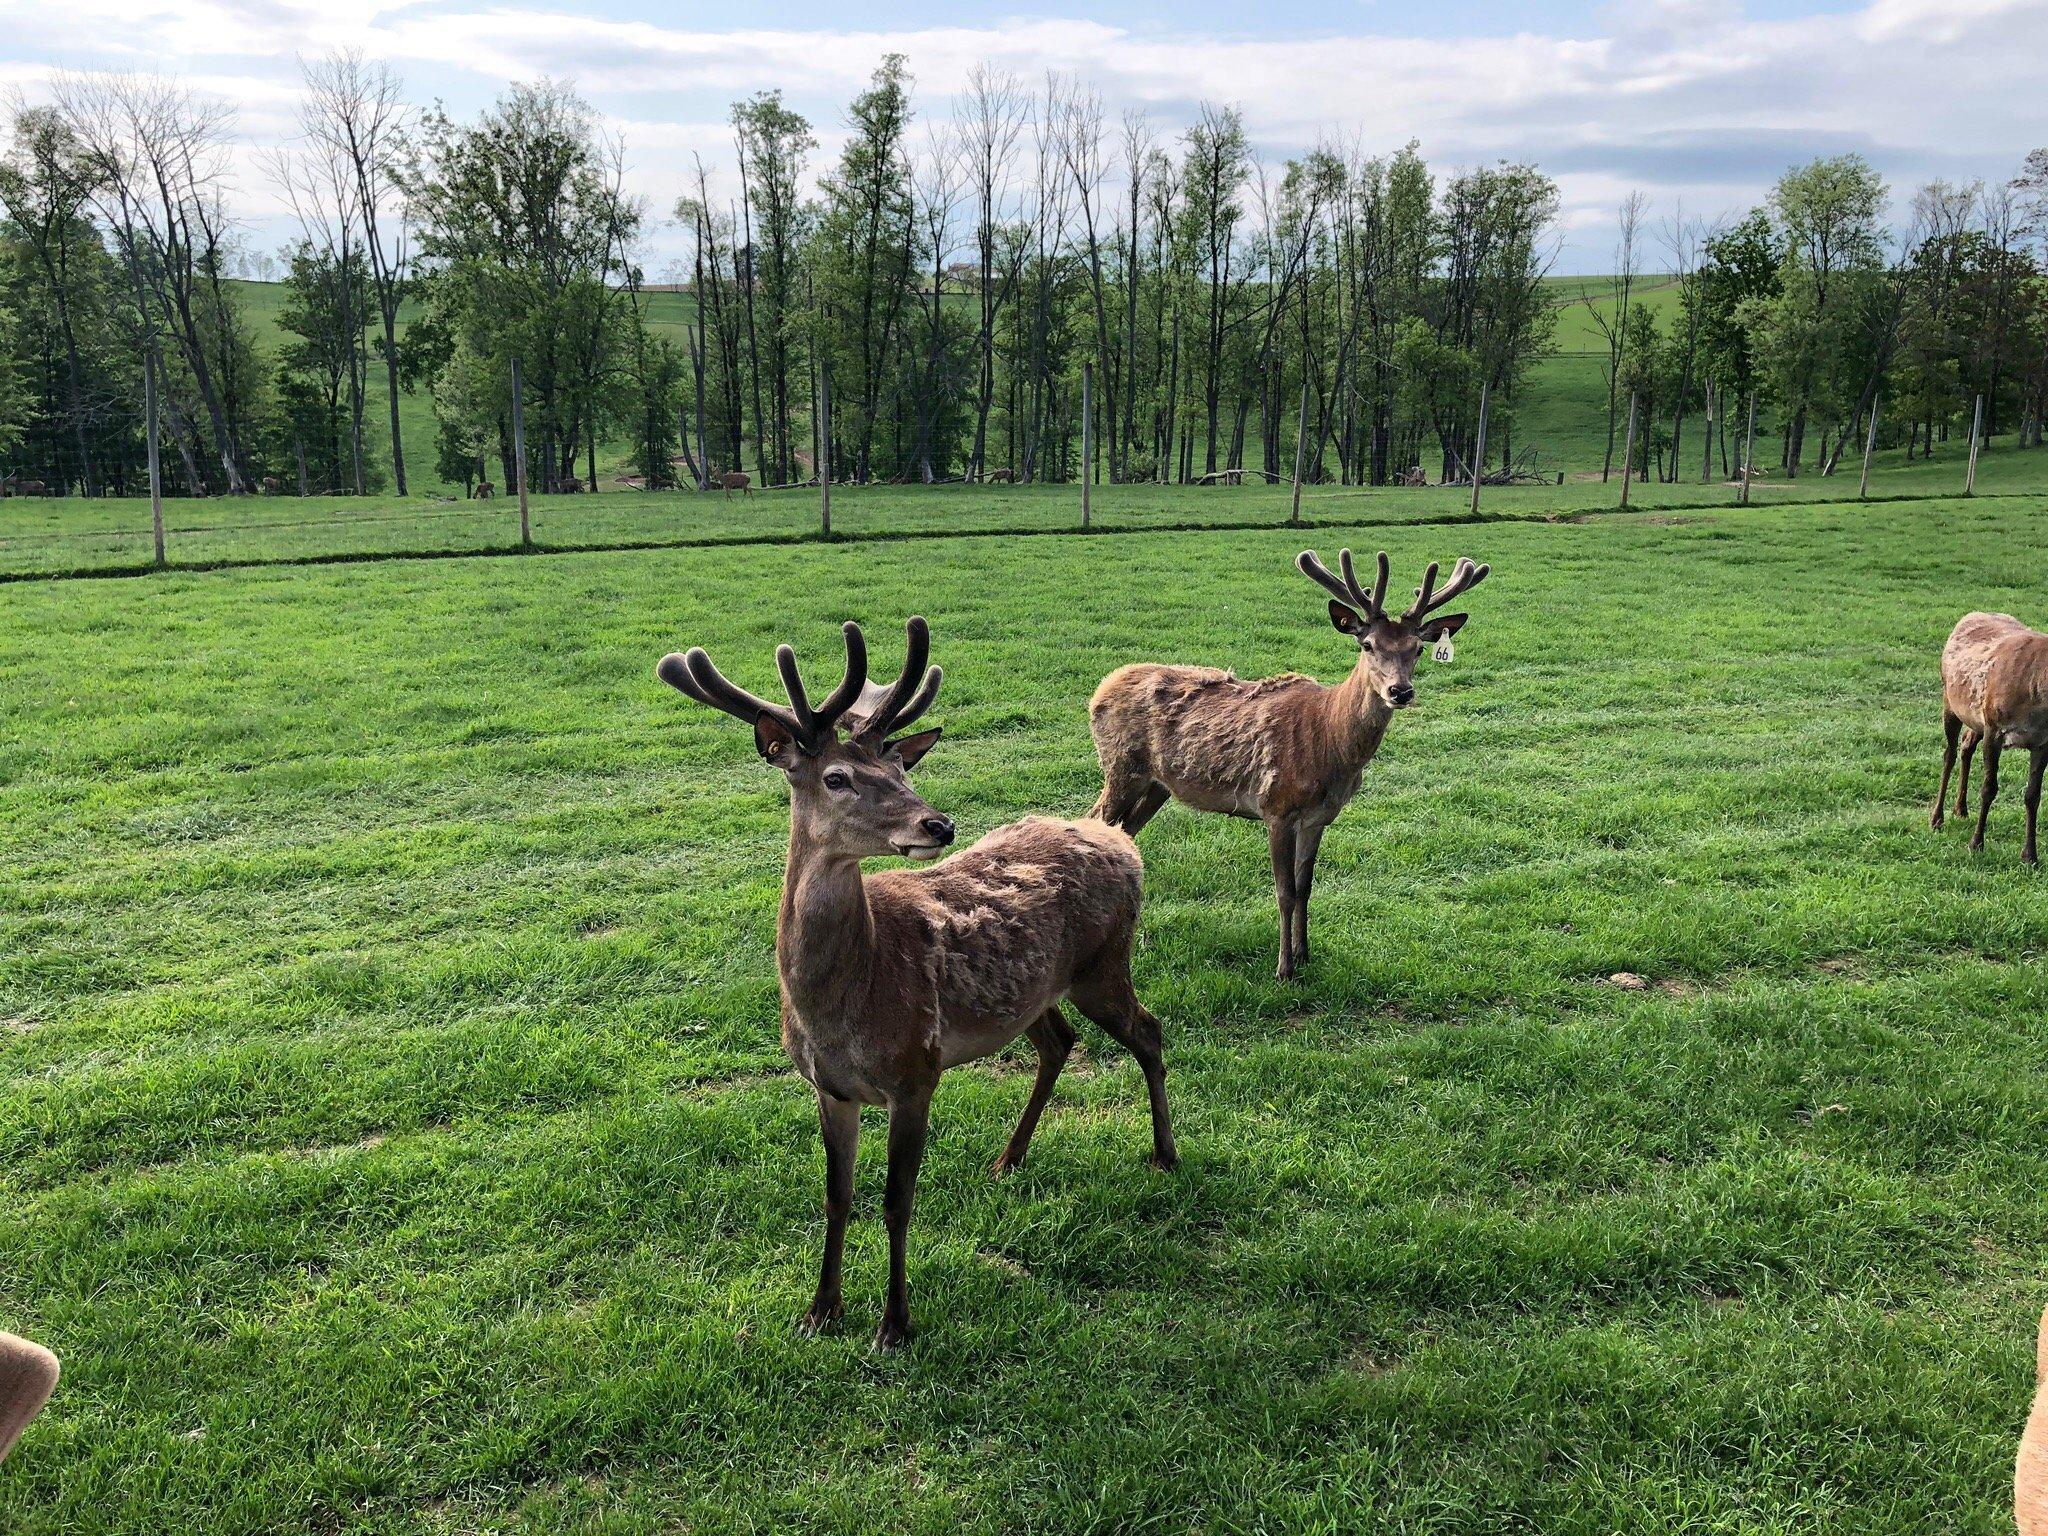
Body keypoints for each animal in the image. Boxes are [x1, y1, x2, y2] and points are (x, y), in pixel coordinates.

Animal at [659, 614, 1187, 1343]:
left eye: (898, 768)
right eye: (838, 777)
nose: (938, 823)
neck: (841, 1004)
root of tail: (1121, 842)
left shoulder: (916, 1071)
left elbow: (896, 1200)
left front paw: (896, 1323)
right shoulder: (830, 1087)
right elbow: (836, 1197)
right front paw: (821, 1310)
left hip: (1103, 965)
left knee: (1150, 1032)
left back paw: (1165, 1154)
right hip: (1033, 995)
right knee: (1058, 1043)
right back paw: (1008, 1158)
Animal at [1089, 548, 1490, 987]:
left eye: (1417, 648)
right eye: (1367, 644)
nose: (1400, 691)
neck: (1329, 743)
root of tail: (1100, 689)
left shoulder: (1319, 817)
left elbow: (1305, 887)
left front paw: (1305, 953)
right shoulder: (1275, 807)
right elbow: (1283, 891)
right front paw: (1283, 968)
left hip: (1158, 785)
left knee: (1124, 831)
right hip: (1120, 766)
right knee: (1096, 818)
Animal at [1933, 614, 2048, 868]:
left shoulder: (2043, 742)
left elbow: (2033, 796)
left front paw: (2030, 856)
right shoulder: (1995, 729)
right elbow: (1988, 788)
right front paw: (1976, 844)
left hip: (1977, 719)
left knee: (1966, 744)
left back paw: (1961, 809)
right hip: (1950, 700)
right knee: (1949, 754)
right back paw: (1937, 818)